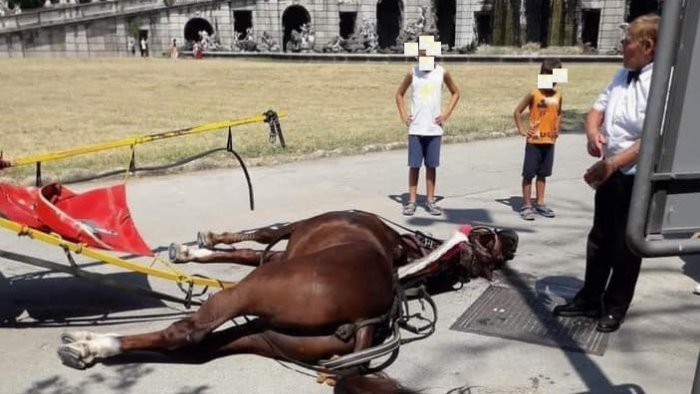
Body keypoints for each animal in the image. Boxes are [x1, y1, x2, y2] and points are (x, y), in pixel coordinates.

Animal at [57, 211, 516, 392]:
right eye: (489, 239)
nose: (512, 237)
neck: (405, 255)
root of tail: (367, 320)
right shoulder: (282, 252)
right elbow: (244, 251)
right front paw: (192, 252)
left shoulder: (291, 234)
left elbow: (259, 236)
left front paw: (199, 245)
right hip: (265, 335)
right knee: (200, 349)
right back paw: (94, 348)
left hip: (251, 291)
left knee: (188, 332)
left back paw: (91, 344)